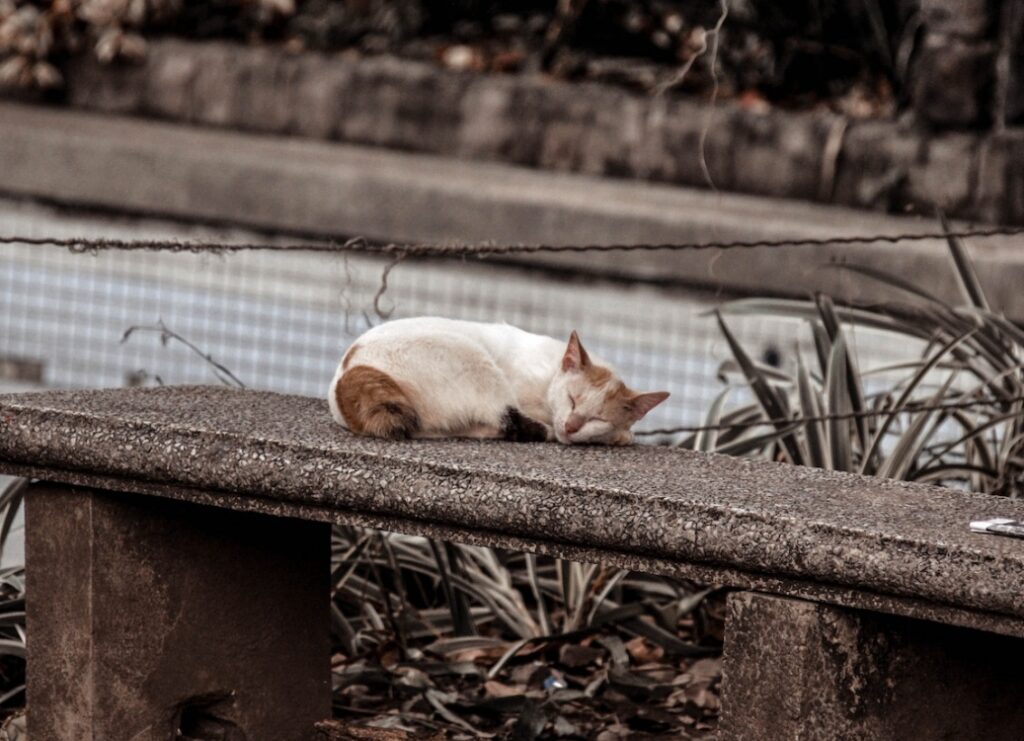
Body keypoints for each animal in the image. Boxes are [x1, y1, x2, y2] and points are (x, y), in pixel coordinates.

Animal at [323, 313, 667, 442]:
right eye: (571, 399)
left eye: (598, 418)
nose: (571, 426)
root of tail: (350, 371)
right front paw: (620, 437)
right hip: (477, 363)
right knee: (508, 419)